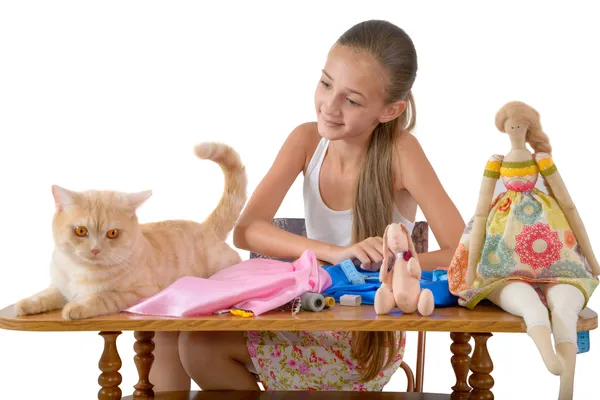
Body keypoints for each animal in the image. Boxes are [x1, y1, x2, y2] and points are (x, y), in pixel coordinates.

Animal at [15, 142, 247, 320]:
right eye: (81, 231)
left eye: (112, 233)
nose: (95, 249)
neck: (82, 272)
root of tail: (205, 227)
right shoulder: (60, 284)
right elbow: (47, 293)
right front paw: (27, 303)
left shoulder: (139, 293)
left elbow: (102, 297)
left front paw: (76, 307)